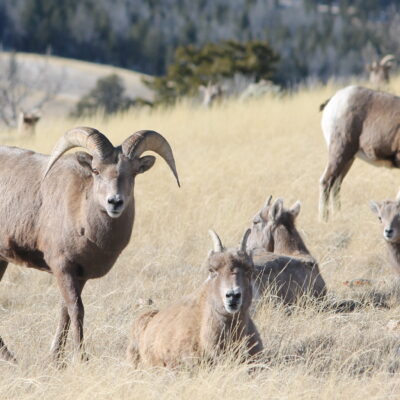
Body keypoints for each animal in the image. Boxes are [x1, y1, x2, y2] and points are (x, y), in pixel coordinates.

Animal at [0, 126, 179, 362]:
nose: (115, 202)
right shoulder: (63, 268)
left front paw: (56, 359)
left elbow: (65, 312)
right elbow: (77, 310)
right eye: (95, 170)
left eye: (133, 172)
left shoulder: (79, 276)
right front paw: (81, 358)